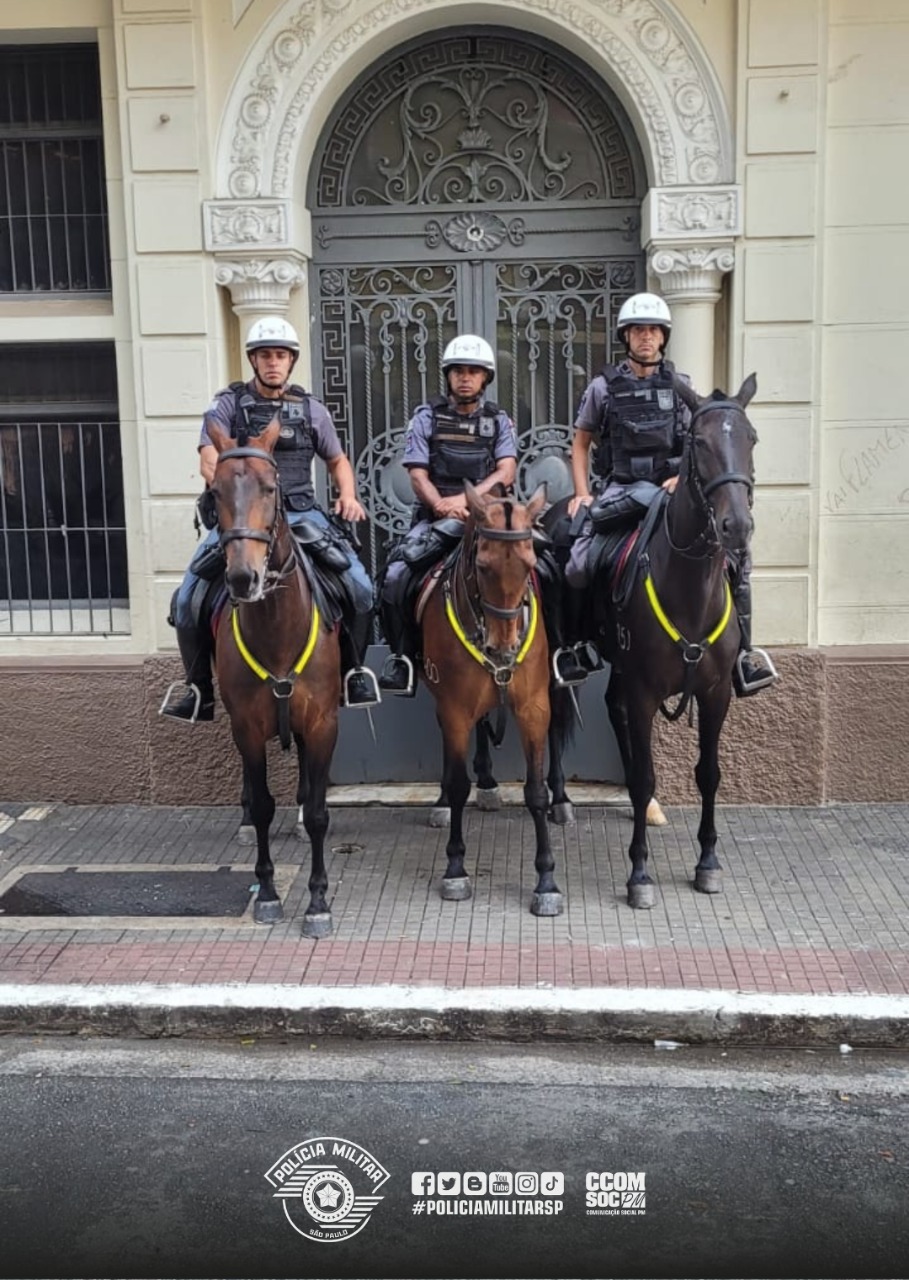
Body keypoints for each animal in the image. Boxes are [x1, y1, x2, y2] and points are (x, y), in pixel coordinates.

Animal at [208, 417, 343, 931]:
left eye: (270, 487)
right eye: (215, 491)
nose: (243, 578)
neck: (277, 629)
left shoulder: (323, 722)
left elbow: (322, 812)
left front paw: (319, 899)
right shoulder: (245, 727)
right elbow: (265, 805)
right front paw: (266, 892)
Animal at [417, 478, 558, 911]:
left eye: (529, 565)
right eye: (483, 566)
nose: (503, 648)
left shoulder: (534, 708)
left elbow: (536, 791)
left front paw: (547, 879)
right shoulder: (454, 710)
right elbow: (458, 785)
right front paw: (455, 868)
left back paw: (489, 781)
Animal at [547, 373, 763, 906]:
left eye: (751, 439)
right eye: (699, 442)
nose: (737, 526)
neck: (688, 585)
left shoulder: (715, 693)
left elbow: (708, 774)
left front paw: (707, 863)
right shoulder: (645, 690)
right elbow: (646, 774)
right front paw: (639, 873)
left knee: (611, 706)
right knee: (555, 715)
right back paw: (559, 800)